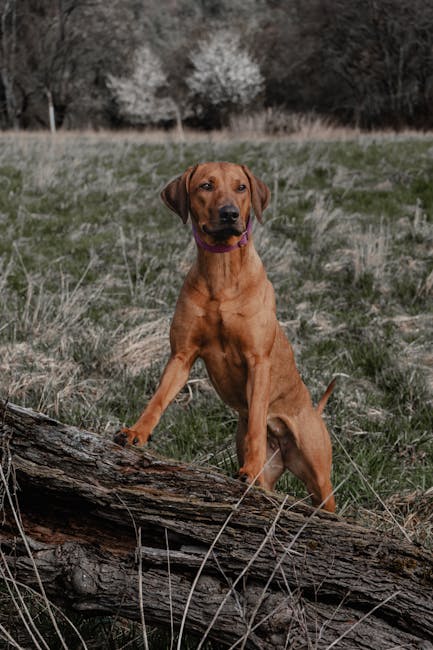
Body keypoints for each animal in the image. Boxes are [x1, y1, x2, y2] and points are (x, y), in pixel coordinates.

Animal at [116, 162, 336, 512]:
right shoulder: (181, 356)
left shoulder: (258, 361)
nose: (230, 213)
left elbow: (257, 420)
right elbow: (159, 398)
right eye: (206, 185)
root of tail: (314, 410)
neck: (221, 271)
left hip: (319, 476)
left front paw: (249, 468)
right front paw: (138, 431)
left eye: (241, 187)